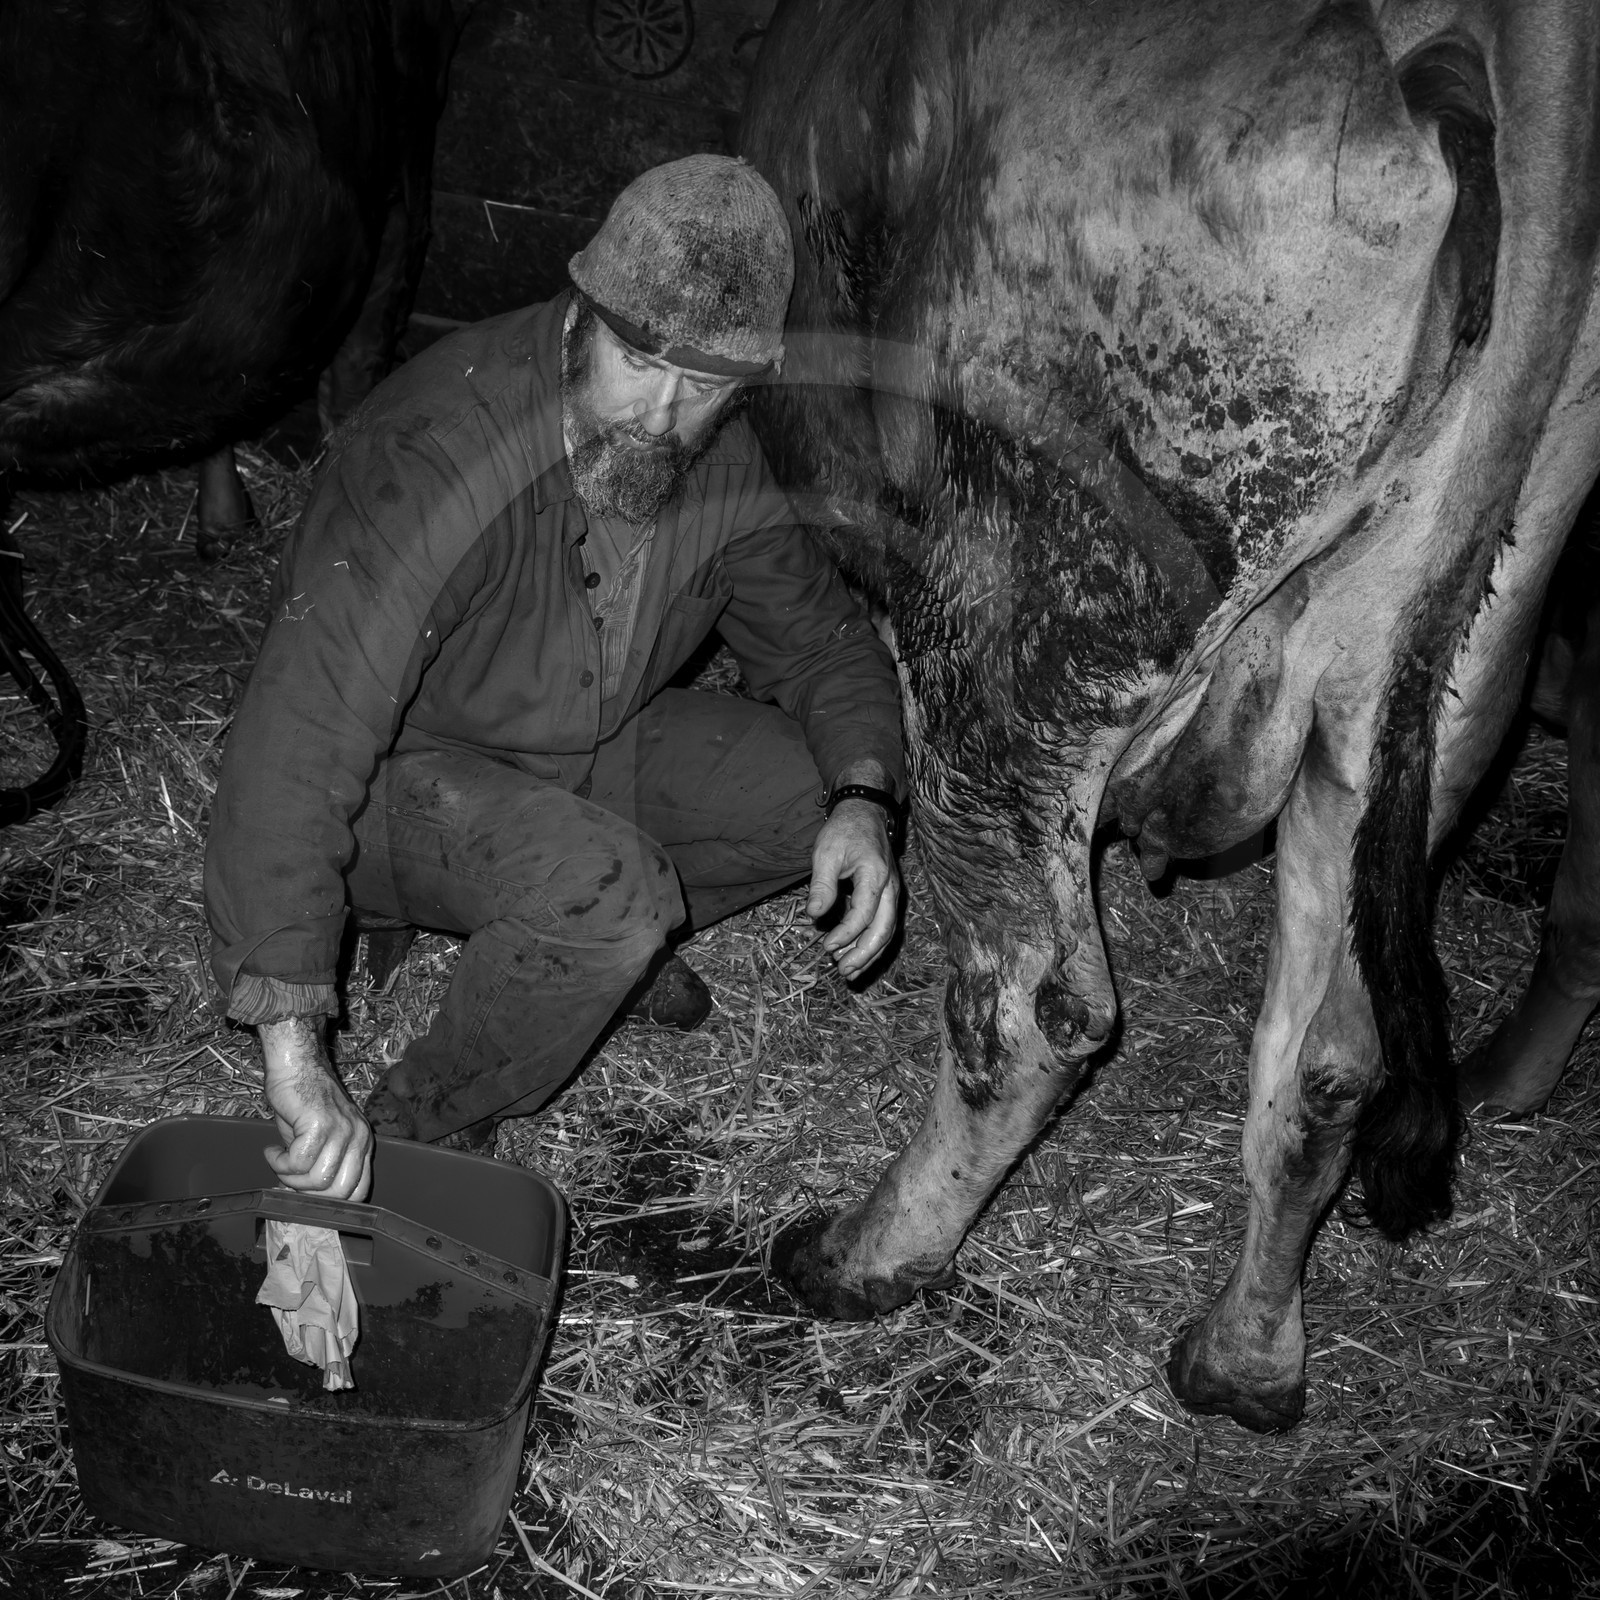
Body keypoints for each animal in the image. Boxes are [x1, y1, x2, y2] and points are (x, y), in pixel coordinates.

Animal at [739, 0, 1600, 1432]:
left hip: (1016, 629)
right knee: (1329, 1055)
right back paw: (1243, 1361)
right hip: (1432, 671)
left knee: (1033, 1003)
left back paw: (863, 1257)